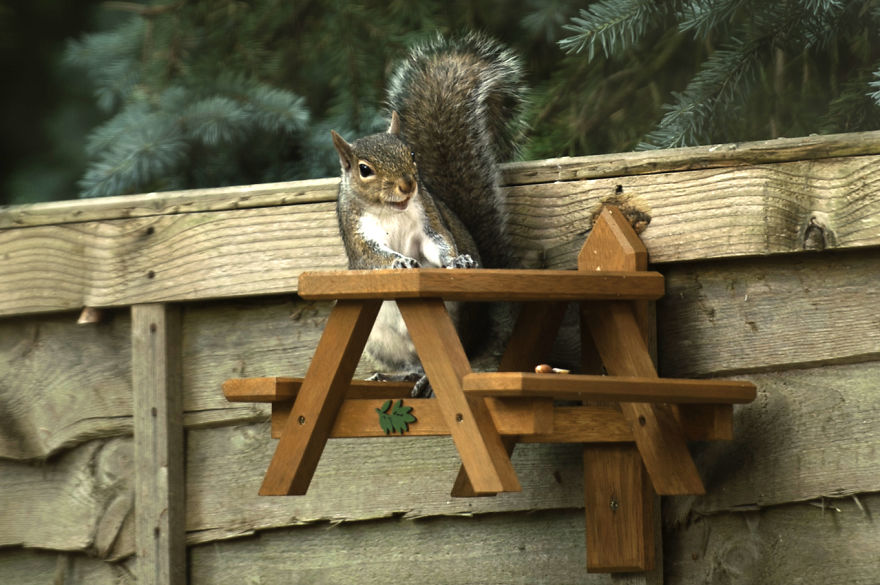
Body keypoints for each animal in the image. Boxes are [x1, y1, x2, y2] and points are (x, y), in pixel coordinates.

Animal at [331, 33, 526, 392]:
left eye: (411, 153)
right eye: (364, 170)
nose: (408, 184)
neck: (391, 211)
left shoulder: (428, 217)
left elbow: (438, 243)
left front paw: (456, 260)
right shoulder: (357, 233)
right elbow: (372, 256)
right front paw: (398, 262)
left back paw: (424, 378)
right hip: (379, 339)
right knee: (410, 361)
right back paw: (401, 374)